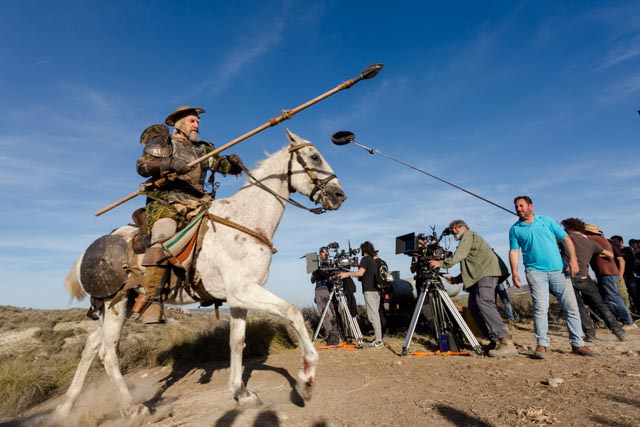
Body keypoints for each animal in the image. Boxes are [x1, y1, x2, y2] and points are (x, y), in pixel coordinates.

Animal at [54, 129, 344, 420]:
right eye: (314, 156)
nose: (339, 195)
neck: (245, 221)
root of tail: (87, 254)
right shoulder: (244, 289)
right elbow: (292, 312)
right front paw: (306, 379)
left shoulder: (237, 299)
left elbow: (237, 342)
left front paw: (240, 392)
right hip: (116, 305)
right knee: (108, 353)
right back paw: (133, 407)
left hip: (116, 306)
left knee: (92, 345)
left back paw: (66, 407)